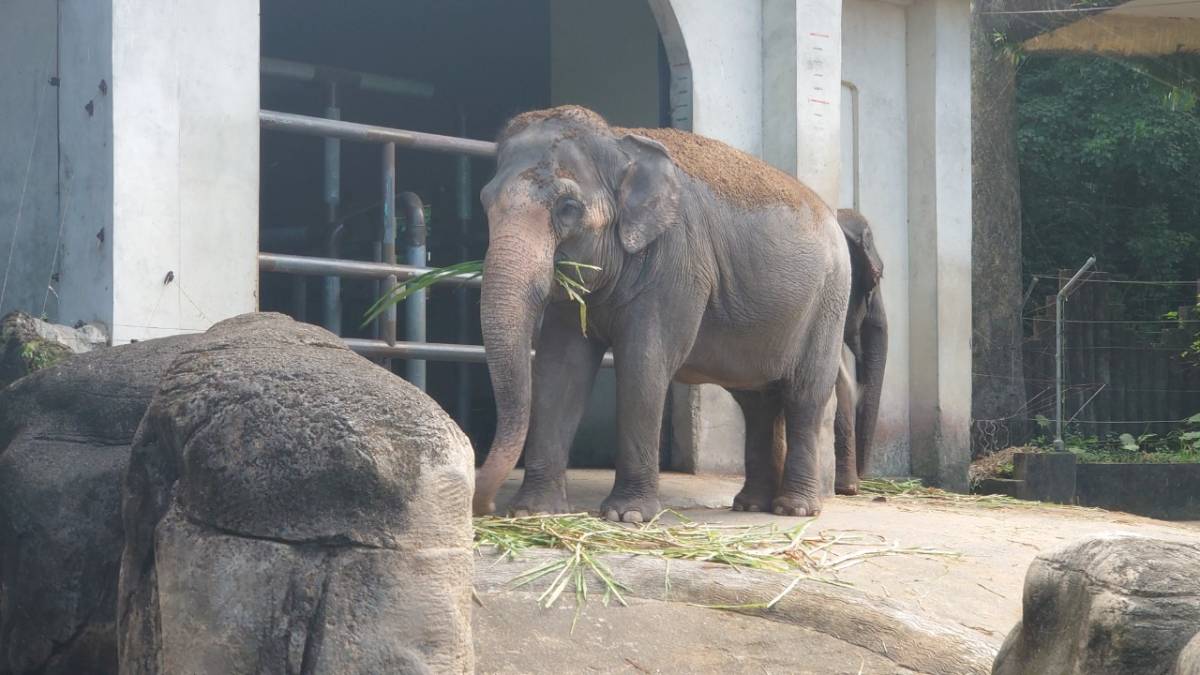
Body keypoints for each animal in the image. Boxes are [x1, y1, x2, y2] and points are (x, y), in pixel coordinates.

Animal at [473, 105, 851, 522]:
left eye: (568, 208)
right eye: (485, 202)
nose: (485, 506)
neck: (619, 142)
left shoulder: (678, 262)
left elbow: (644, 363)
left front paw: (627, 516)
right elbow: (560, 368)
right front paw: (533, 512)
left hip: (828, 303)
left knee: (805, 396)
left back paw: (794, 509)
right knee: (756, 402)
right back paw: (751, 504)